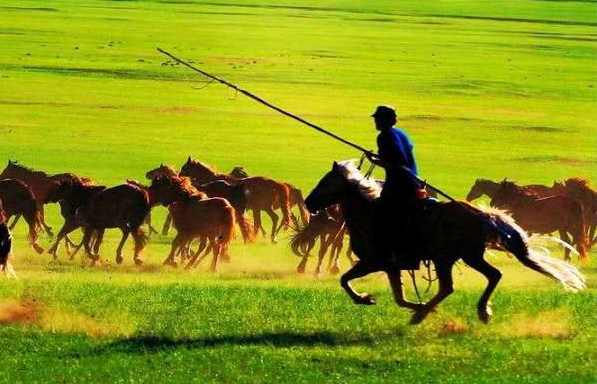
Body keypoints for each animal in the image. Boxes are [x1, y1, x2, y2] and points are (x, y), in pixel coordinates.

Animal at [300, 161, 584, 324]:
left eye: (325, 181)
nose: (308, 203)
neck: (367, 213)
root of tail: (482, 214)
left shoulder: (374, 261)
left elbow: (345, 280)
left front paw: (365, 298)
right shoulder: (391, 266)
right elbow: (399, 297)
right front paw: (412, 305)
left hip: (445, 258)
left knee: (449, 287)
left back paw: (425, 314)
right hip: (469, 256)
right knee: (493, 275)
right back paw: (479, 311)